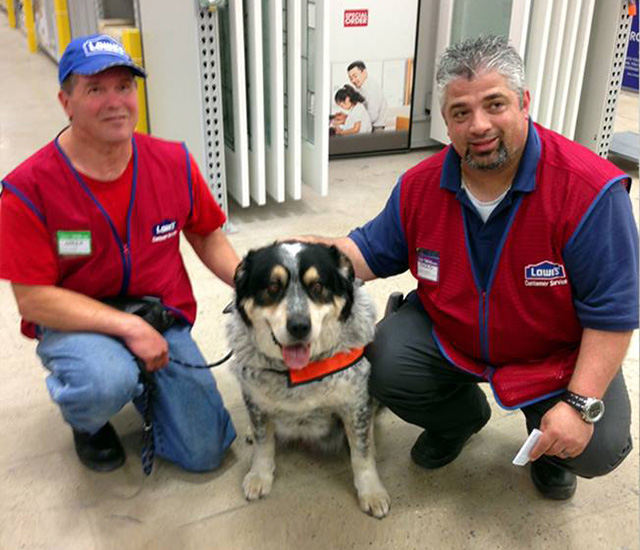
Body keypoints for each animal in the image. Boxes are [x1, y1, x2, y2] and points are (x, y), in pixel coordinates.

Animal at [226, 243, 390, 520]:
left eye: (318, 286)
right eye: (272, 287)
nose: (299, 326)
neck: (299, 372)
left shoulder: (355, 404)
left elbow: (362, 454)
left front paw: (372, 492)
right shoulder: (256, 401)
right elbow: (263, 443)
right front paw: (259, 476)